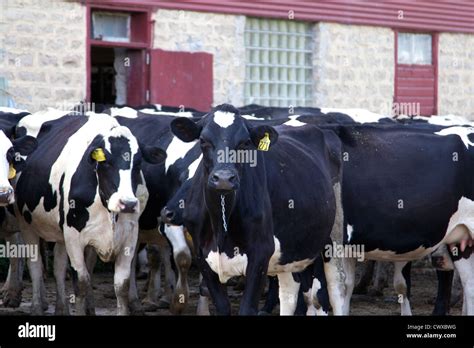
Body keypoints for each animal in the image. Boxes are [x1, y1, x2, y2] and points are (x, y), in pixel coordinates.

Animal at [14, 113, 167, 314]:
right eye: (106, 162)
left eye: (139, 163)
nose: (127, 203)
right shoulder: (73, 236)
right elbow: (81, 283)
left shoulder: (130, 236)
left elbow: (121, 285)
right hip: (27, 225)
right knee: (35, 265)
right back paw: (37, 307)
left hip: (63, 234)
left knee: (59, 266)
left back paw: (63, 308)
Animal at [168, 104, 346, 316]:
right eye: (203, 140)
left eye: (245, 142)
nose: (224, 178)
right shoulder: (202, 256)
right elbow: (223, 306)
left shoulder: (260, 253)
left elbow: (247, 308)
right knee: (289, 292)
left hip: (334, 239)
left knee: (335, 292)